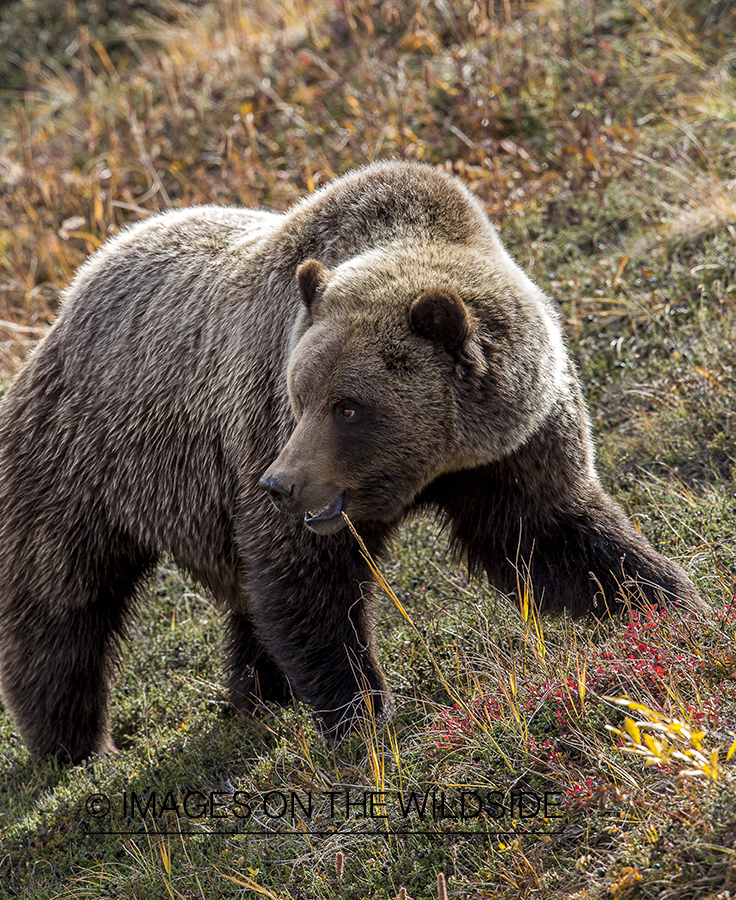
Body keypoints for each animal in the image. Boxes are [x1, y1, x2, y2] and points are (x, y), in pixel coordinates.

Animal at [0, 160, 705, 764]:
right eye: (299, 393)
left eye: (348, 407)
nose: (281, 484)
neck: (431, 467)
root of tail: (71, 291)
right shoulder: (265, 430)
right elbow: (308, 585)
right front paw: (360, 714)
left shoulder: (510, 448)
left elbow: (550, 532)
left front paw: (665, 600)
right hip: (85, 462)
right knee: (58, 600)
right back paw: (74, 744)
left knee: (241, 595)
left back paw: (259, 693)